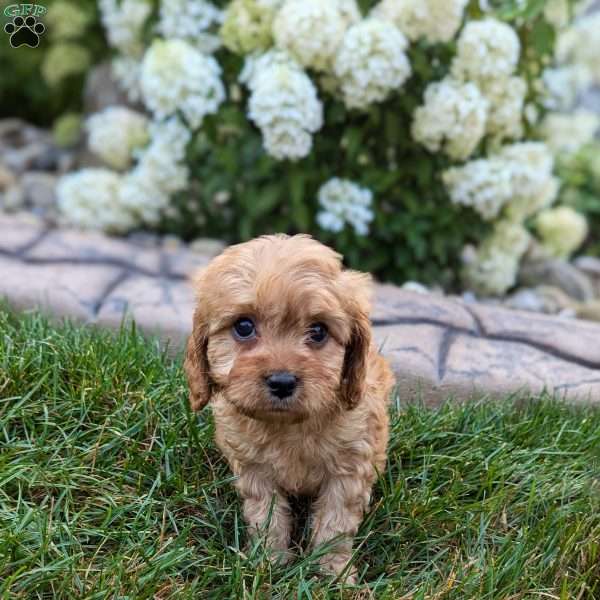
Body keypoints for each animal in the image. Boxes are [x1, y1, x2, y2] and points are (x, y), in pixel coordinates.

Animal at [185, 233, 396, 576]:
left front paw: (331, 572)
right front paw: (267, 562)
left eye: (319, 331)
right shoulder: (255, 469)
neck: (290, 426)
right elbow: (266, 516)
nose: (282, 382)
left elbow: (335, 523)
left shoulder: (349, 468)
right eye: (244, 326)